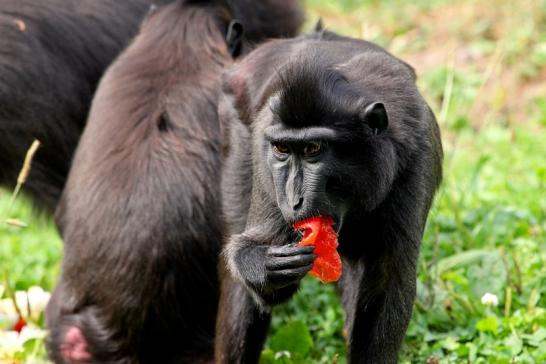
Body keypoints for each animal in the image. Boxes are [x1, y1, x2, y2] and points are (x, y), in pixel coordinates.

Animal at [215, 31, 440, 364]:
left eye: (313, 150)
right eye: (282, 149)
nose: (293, 199)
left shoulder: (416, 157)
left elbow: (387, 280)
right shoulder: (262, 150)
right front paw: (261, 263)